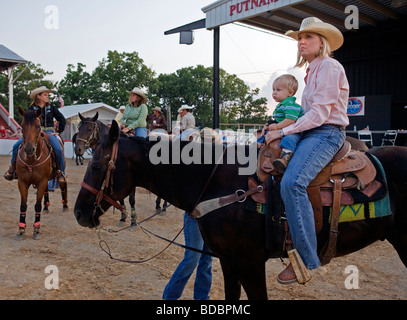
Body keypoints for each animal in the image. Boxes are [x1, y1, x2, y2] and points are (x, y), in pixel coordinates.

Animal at [16, 108, 67, 240]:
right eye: (22, 126)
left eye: (38, 126)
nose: (29, 149)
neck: (31, 160)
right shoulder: (22, 182)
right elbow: (23, 205)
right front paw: (21, 229)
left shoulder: (42, 181)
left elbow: (37, 205)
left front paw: (36, 229)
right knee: (46, 192)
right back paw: (46, 207)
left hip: (59, 173)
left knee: (63, 185)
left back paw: (65, 205)